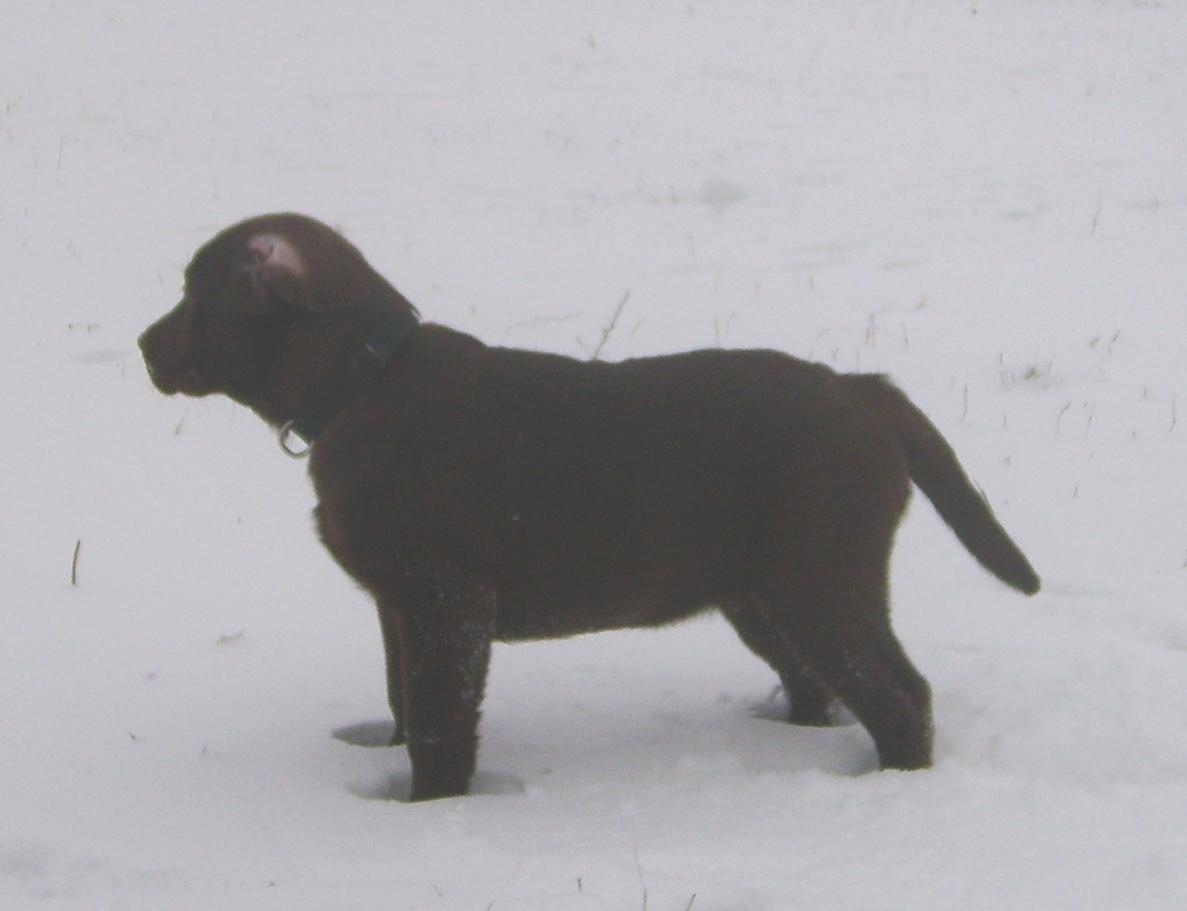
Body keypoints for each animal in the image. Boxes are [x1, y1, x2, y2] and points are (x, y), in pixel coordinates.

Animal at [141, 211, 1039, 798]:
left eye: (194, 292)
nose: (145, 344)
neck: (362, 380)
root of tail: (861, 389)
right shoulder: (397, 601)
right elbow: (402, 698)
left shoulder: (445, 597)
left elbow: (438, 720)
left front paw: (431, 808)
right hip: (760, 593)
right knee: (816, 687)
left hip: (821, 579)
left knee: (899, 695)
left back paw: (892, 793)